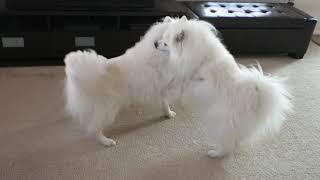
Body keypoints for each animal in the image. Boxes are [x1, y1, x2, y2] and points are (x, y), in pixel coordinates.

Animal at [63, 16, 184, 146]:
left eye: (165, 41)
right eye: (162, 39)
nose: (155, 44)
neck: (158, 55)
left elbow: (163, 102)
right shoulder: (163, 87)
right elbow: (166, 103)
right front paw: (169, 113)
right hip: (108, 108)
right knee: (95, 129)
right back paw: (106, 141)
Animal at [155, 16, 292, 158]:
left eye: (165, 43)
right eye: (162, 37)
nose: (155, 43)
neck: (203, 57)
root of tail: (254, 99)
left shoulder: (202, 81)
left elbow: (188, 82)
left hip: (220, 123)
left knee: (227, 144)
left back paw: (215, 153)